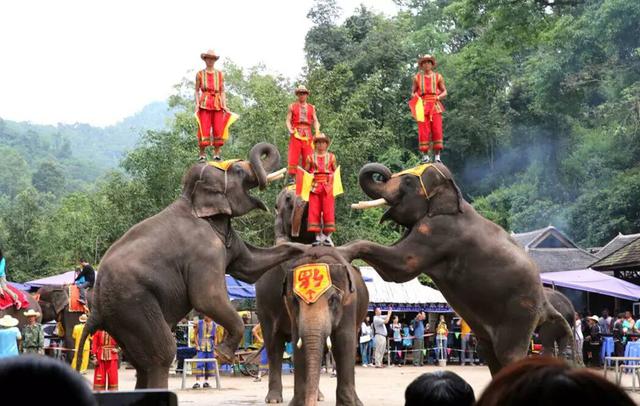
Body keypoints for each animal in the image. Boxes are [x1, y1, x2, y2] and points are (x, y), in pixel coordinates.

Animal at [75, 143, 304, 386]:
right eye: (239, 171)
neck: (192, 200)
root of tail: (96, 308)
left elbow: (250, 267)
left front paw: (307, 249)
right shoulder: (204, 252)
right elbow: (207, 297)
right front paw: (222, 354)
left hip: (120, 318)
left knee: (141, 361)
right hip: (131, 304)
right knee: (162, 353)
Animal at [282, 247, 368, 406]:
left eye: (332, 299)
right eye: (295, 301)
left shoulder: (349, 303)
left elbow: (344, 341)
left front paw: (348, 404)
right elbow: (298, 343)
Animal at [342, 161, 572, 374]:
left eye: (408, 181)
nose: (385, 173)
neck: (455, 194)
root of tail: (545, 304)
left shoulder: (438, 230)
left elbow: (401, 267)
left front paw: (343, 253)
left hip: (519, 316)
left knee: (509, 355)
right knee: (489, 352)